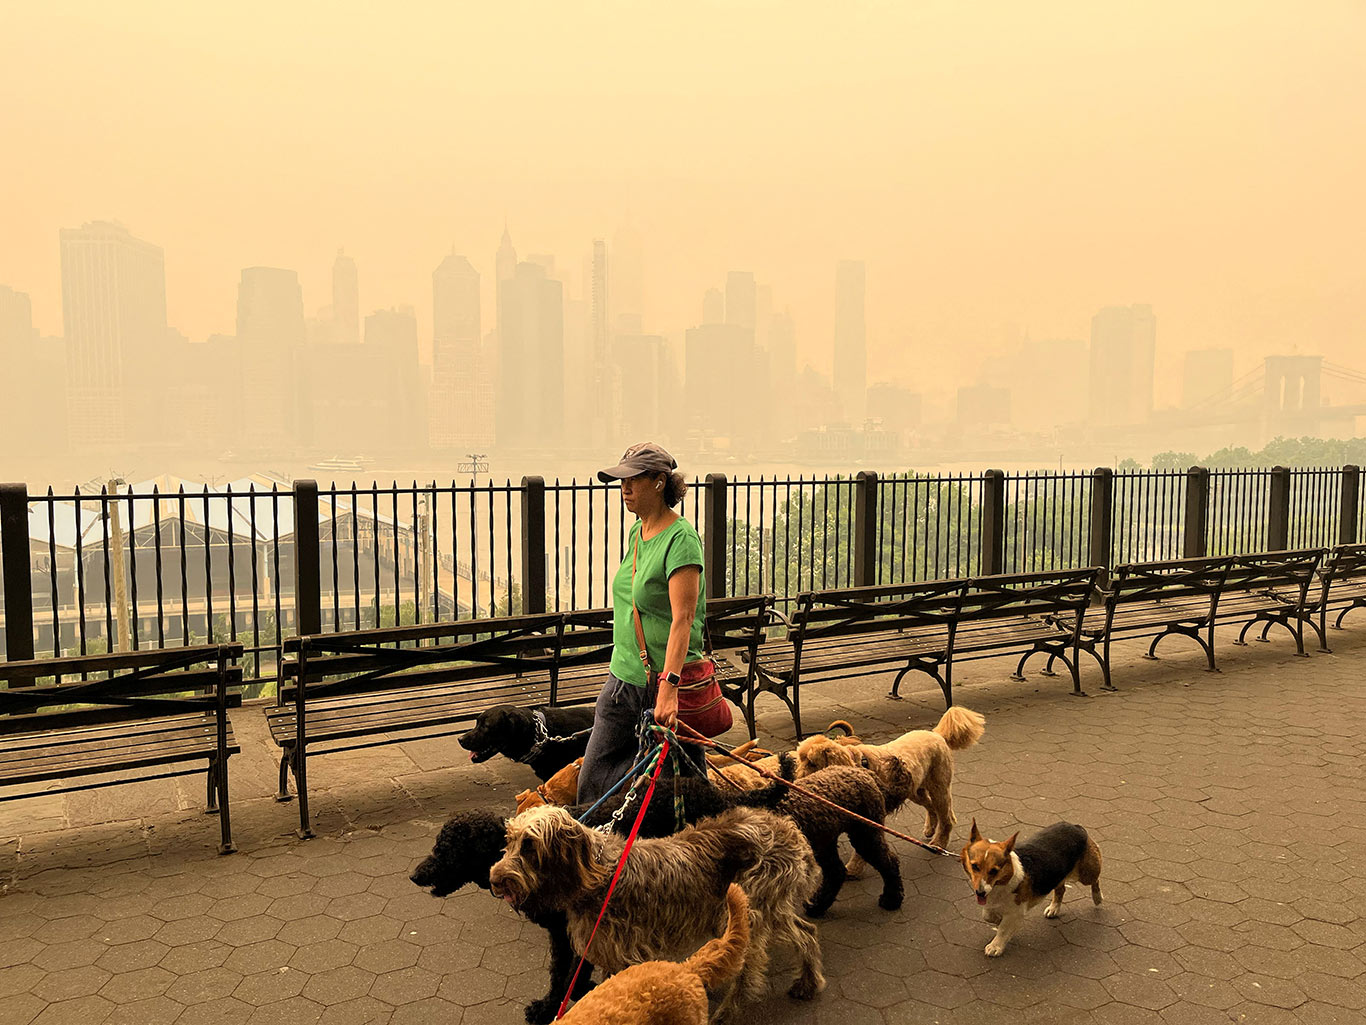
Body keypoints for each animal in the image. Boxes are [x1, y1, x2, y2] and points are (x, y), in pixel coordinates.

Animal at [797, 705, 988, 852]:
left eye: (812, 762)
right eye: (801, 758)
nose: (796, 778)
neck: (860, 762)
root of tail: (937, 735)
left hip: (938, 787)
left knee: (946, 818)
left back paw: (939, 842)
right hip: (916, 791)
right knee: (931, 807)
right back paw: (930, 828)